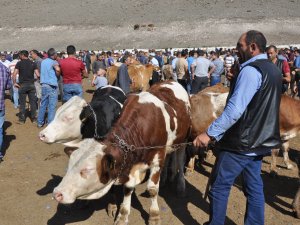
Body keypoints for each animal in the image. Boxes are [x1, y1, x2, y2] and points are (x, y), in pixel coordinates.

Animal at [53, 81, 191, 225]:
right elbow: (128, 189)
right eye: (69, 165)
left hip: (184, 140)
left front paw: (154, 216)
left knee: (180, 161)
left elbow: (152, 189)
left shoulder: (157, 158)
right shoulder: (130, 165)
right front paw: (123, 216)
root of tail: (169, 81)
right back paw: (164, 179)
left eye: (87, 169)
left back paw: (180, 186)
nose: (57, 193)